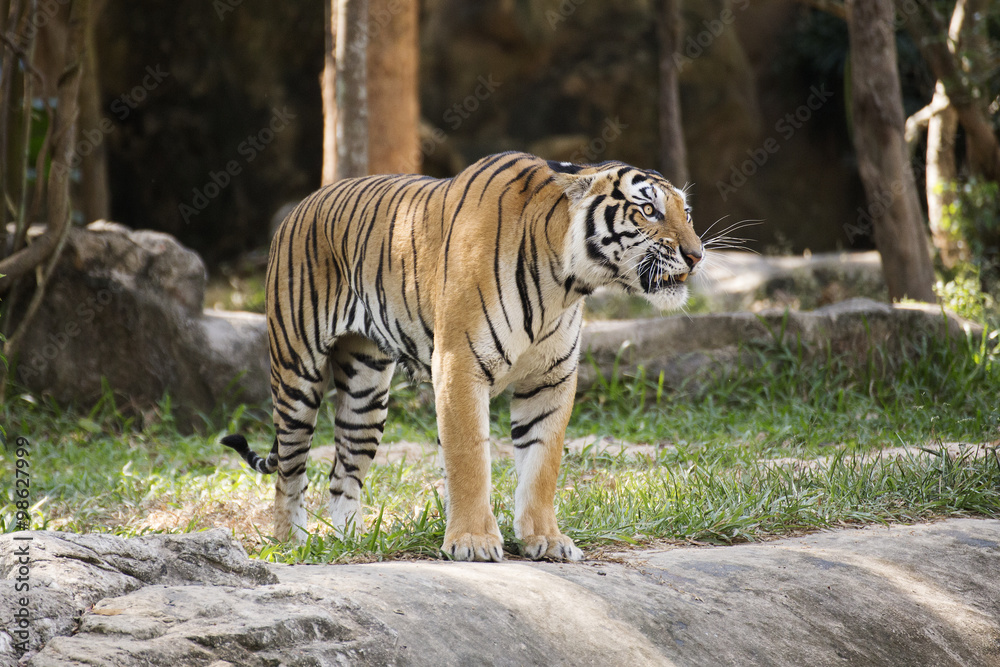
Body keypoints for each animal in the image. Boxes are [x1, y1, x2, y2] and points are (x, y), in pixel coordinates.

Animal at [222, 151, 703, 562]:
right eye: (649, 211)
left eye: (686, 213)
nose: (697, 255)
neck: (565, 283)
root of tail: (301, 206)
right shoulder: (459, 366)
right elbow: (470, 458)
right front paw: (473, 542)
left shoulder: (551, 379)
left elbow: (542, 464)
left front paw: (545, 539)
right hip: (296, 375)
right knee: (289, 470)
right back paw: (292, 542)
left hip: (365, 395)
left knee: (342, 474)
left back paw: (349, 542)